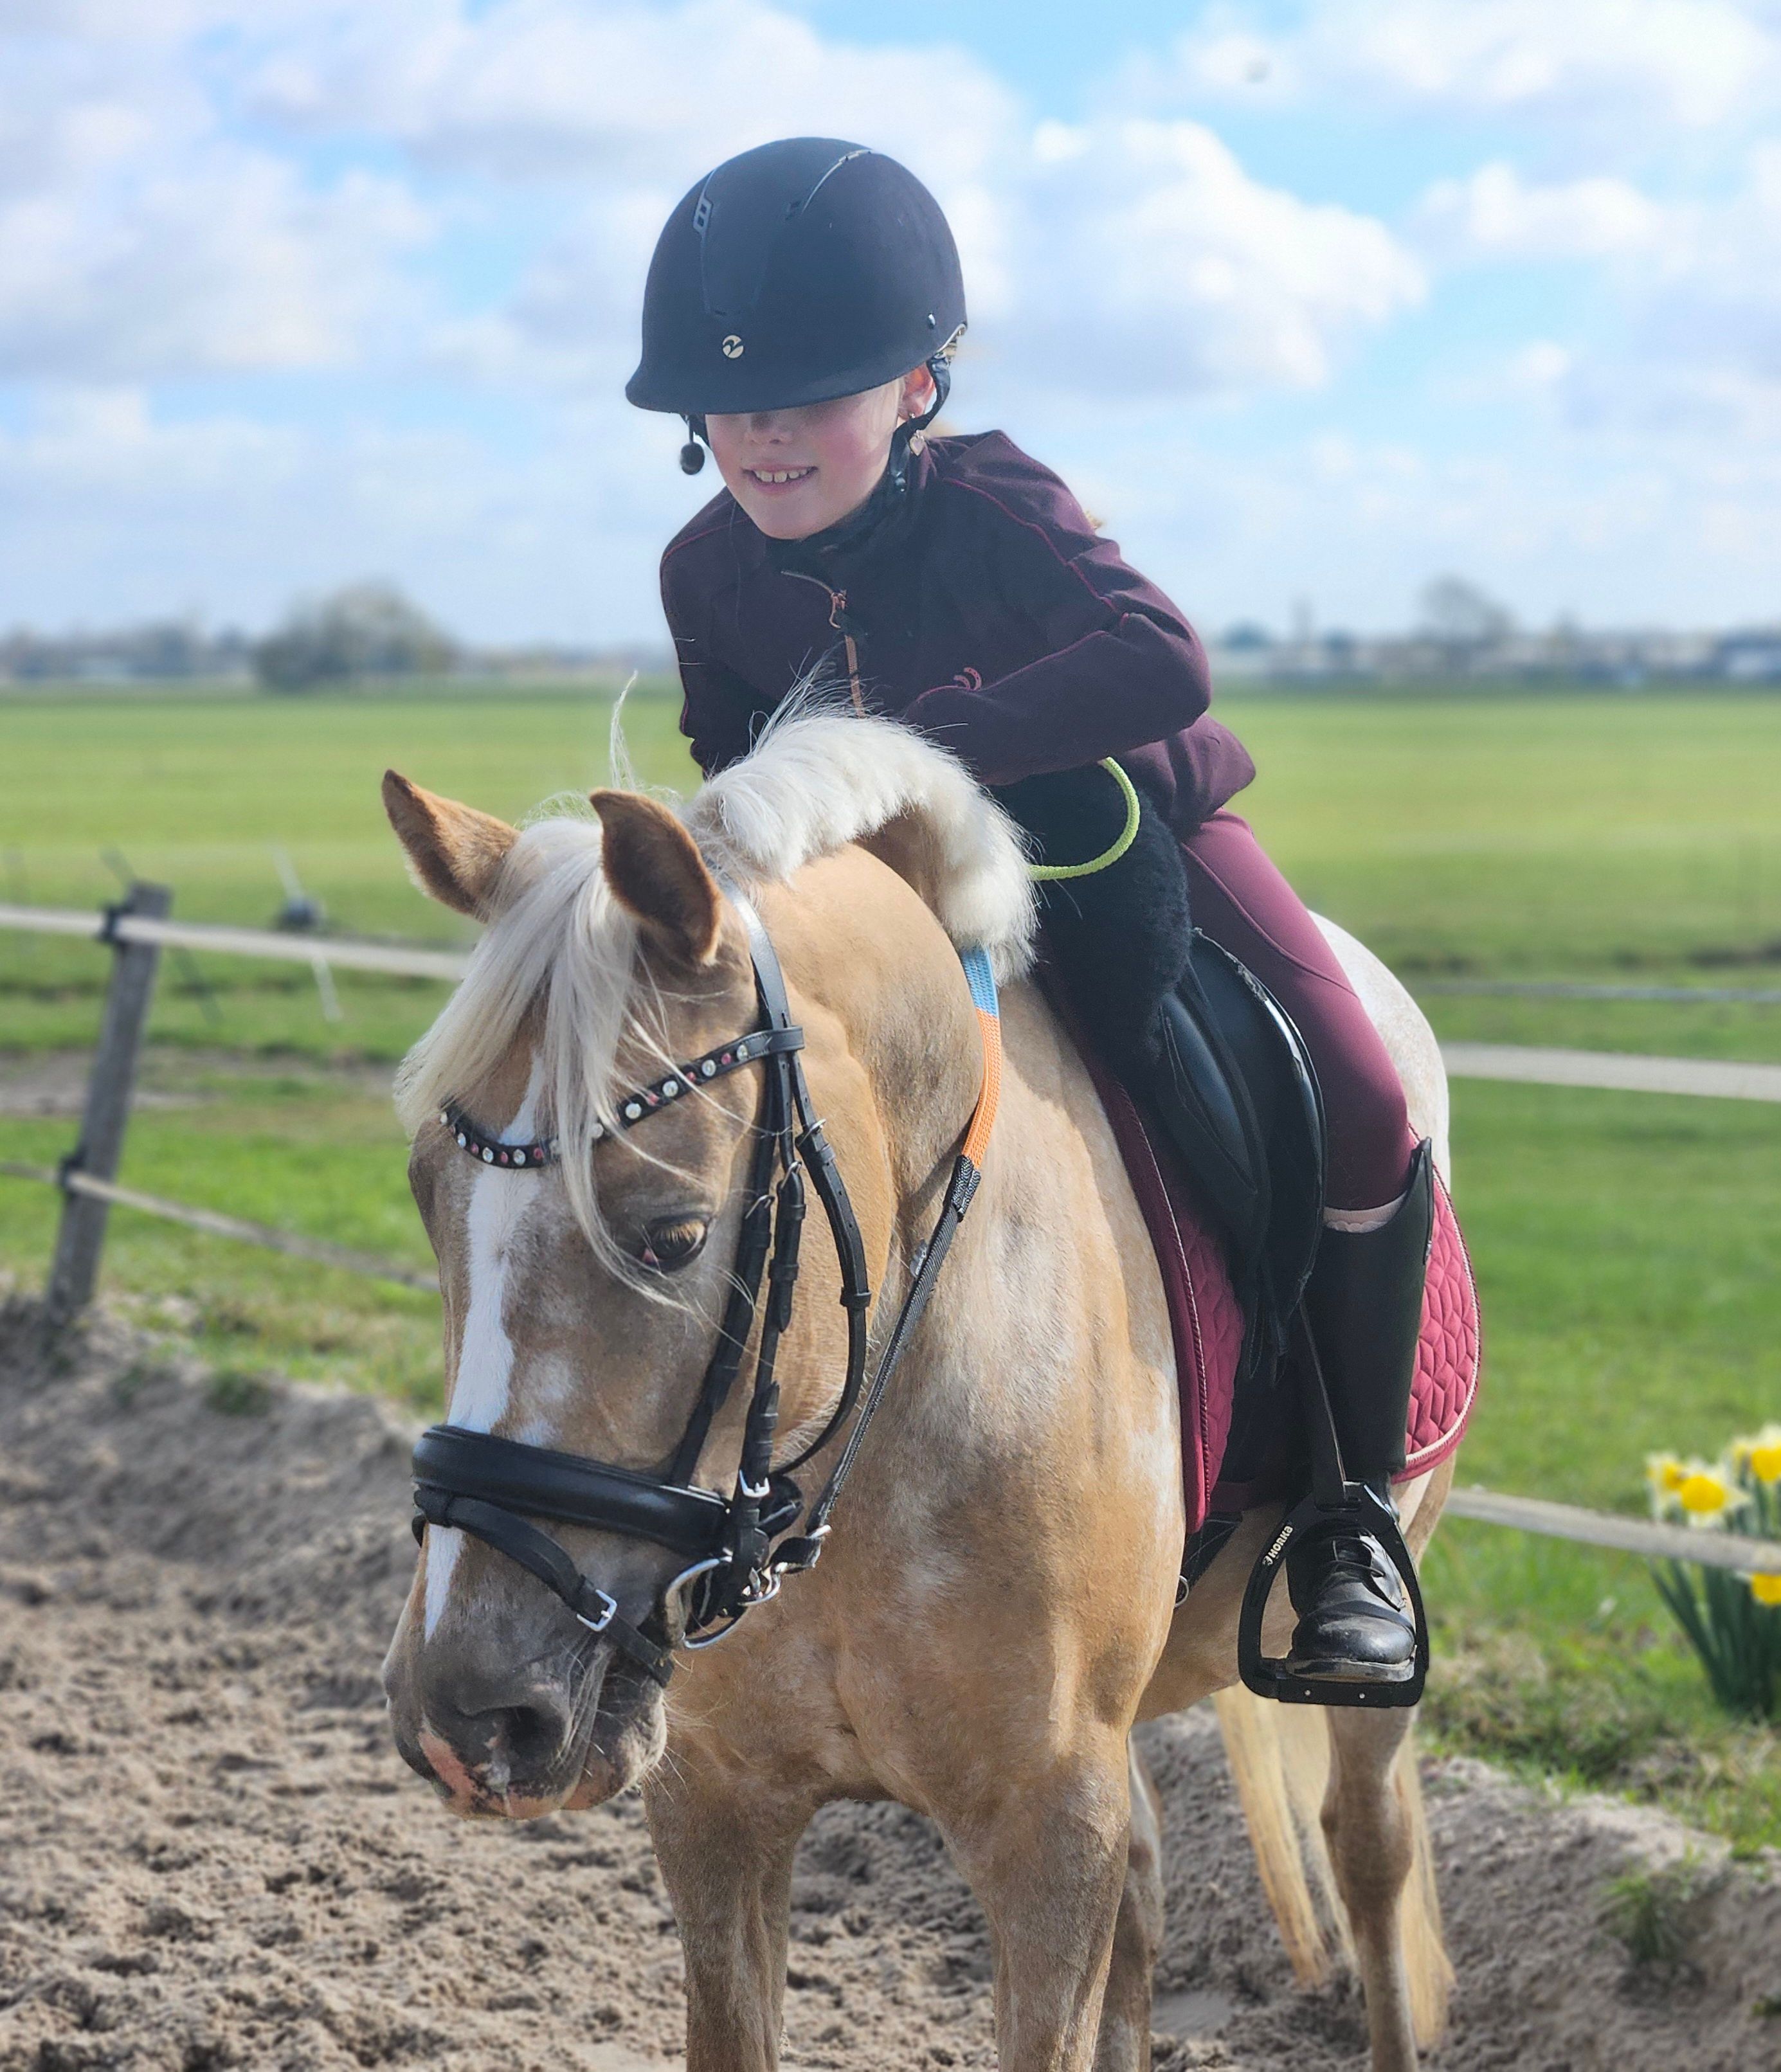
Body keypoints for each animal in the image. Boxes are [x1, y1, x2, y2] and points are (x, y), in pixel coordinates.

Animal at [379, 710, 1455, 2072]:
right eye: (427, 1194)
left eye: (673, 1233)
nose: (466, 1713)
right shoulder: (717, 1805)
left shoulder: (1049, 1820)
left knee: (1367, 1853)